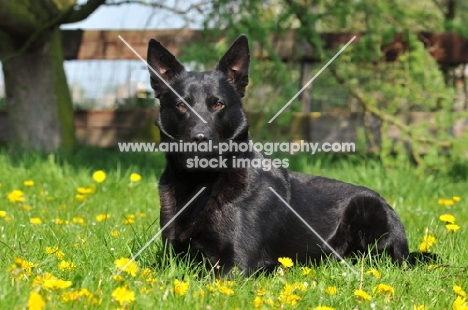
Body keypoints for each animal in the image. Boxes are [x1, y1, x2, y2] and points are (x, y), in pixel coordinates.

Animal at [148, 35, 414, 274]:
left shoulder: (235, 264)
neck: (201, 184)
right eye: (181, 105)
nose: (200, 139)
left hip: (368, 213)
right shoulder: (171, 257)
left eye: (218, 104)